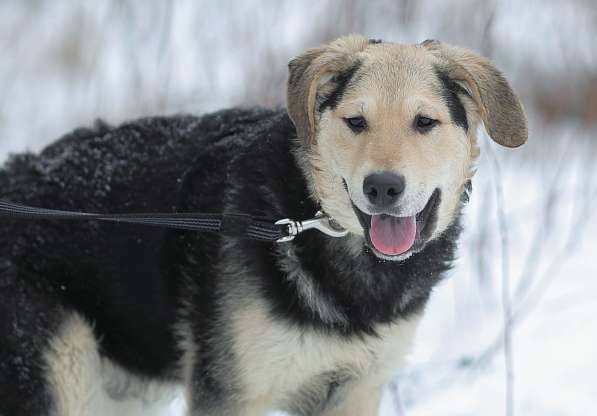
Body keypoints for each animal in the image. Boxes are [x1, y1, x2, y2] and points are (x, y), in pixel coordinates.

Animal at [0, 35, 524, 416]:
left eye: (424, 122)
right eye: (356, 122)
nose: (382, 187)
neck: (311, 223)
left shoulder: (355, 388)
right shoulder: (230, 394)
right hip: (62, 370)